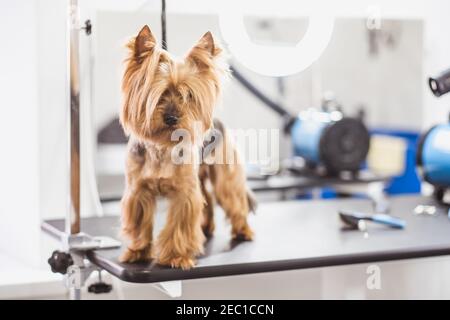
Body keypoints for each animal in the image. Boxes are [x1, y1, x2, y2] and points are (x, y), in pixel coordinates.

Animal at [118, 25, 253, 270]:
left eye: (188, 95)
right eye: (159, 94)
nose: (171, 118)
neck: (161, 147)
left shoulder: (184, 193)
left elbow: (180, 225)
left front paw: (176, 256)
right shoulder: (138, 191)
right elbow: (139, 223)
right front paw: (138, 251)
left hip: (224, 176)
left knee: (233, 199)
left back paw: (243, 231)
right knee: (208, 200)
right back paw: (207, 227)